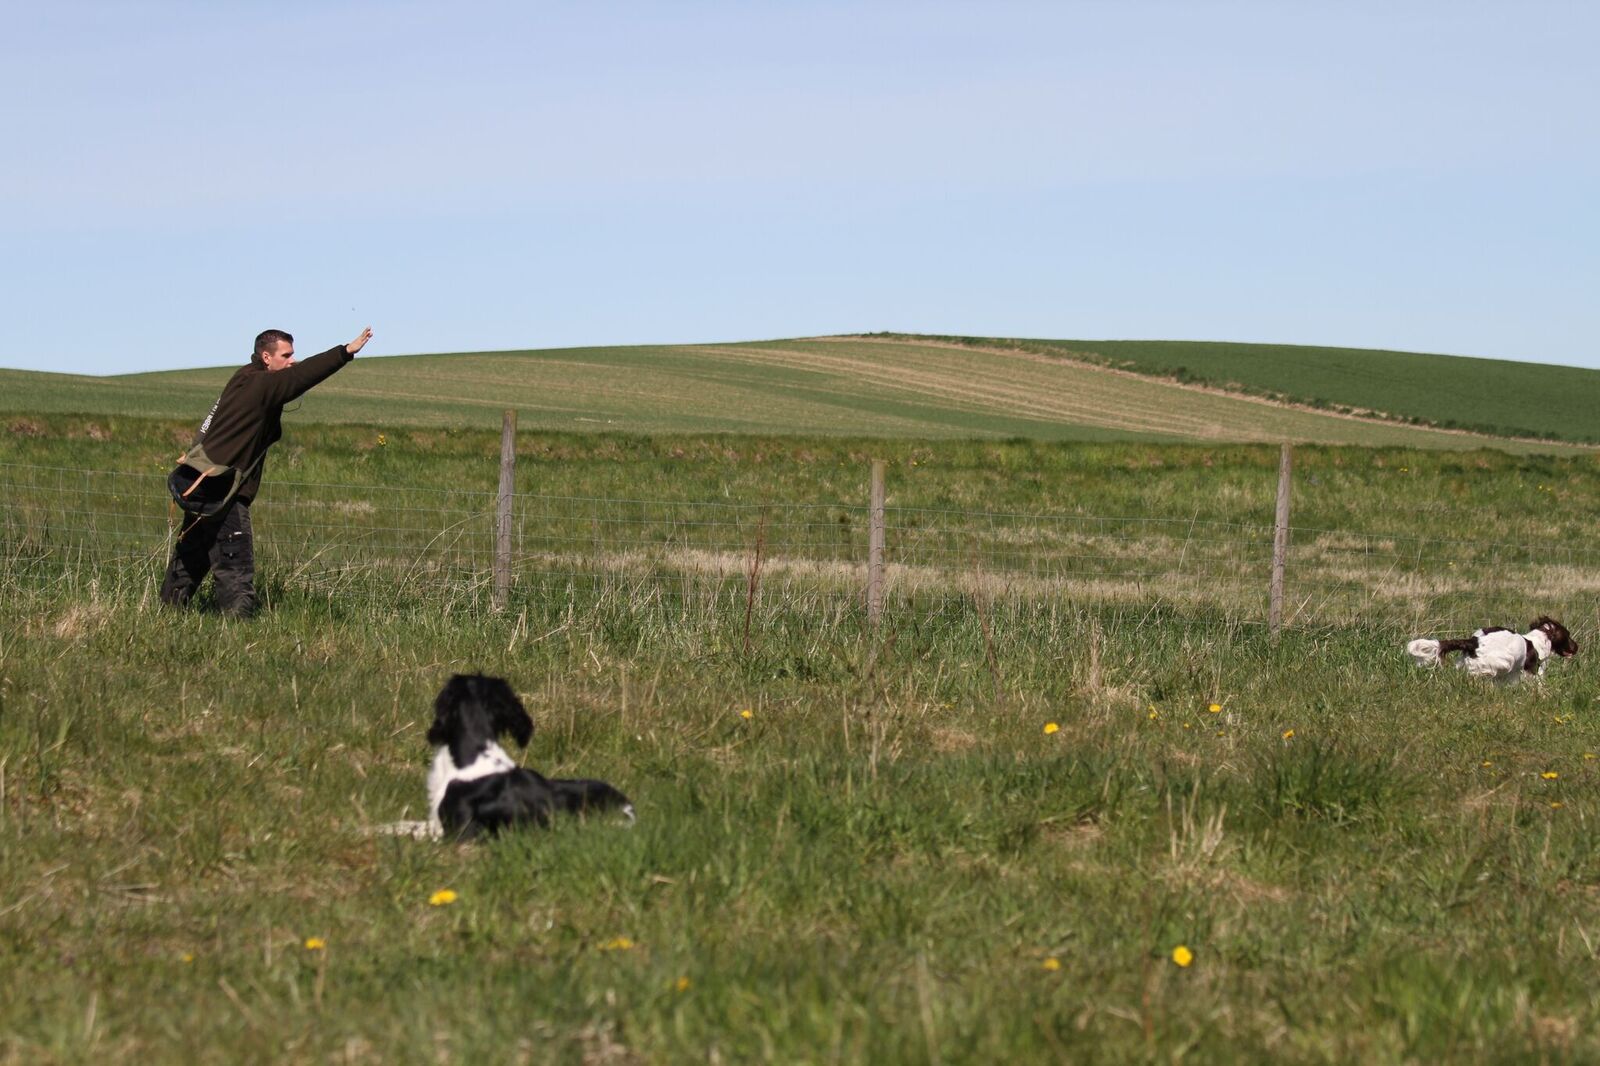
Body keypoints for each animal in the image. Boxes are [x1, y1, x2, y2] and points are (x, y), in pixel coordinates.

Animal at [1407, 616, 1577, 684]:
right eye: (1568, 635)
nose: (1577, 647)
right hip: (1503, 662)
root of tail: (1473, 642)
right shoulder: (1534, 672)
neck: (1539, 640)